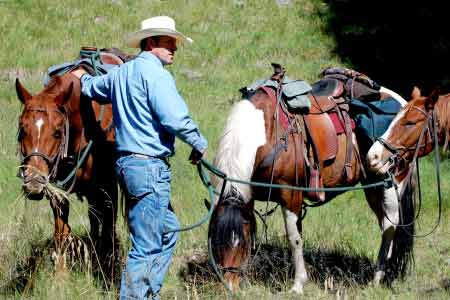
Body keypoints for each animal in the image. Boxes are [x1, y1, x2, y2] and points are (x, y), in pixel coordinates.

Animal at [15, 70, 117, 274]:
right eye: (22, 130)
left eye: (57, 132)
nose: (34, 183)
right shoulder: (58, 193)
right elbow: (61, 233)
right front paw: (60, 275)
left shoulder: (109, 189)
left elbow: (109, 227)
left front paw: (108, 270)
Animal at [209, 79, 416, 292]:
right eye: (215, 242)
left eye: (241, 243)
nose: (229, 287)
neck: (268, 133)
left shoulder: (290, 194)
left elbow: (294, 239)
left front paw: (298, 284)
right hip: (372, 187)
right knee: (385, 225)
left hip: (392, 184)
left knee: (391, 225)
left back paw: (377, 278)